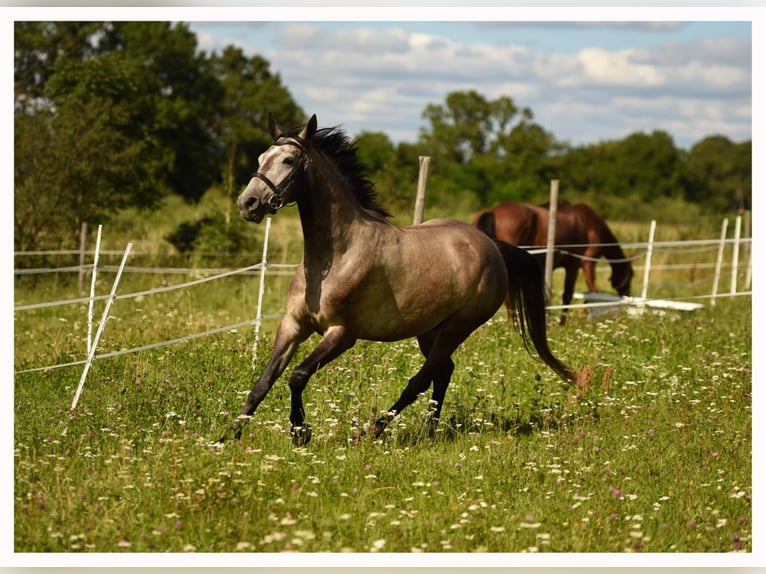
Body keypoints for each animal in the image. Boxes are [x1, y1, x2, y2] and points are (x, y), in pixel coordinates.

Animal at [219, 114, 575, 445]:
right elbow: (263, 382)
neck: (335, 257)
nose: (247, 203)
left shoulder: (342, 334)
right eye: (261, 158)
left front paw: (300, 431)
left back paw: (376, 429)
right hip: (429, 330)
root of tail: (492, 247)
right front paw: (227, 436)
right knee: (443, 372)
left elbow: (297, 375)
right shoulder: (293, 325)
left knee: (421, 379)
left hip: (458, 326)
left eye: (289, 161)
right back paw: (429, 430)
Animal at [471, 201, 633, 324]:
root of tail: (492, 211)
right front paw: (564, 322)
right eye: (631, 275)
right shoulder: (581, 264)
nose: (627, 296)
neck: (589, 225)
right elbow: (577, 293)